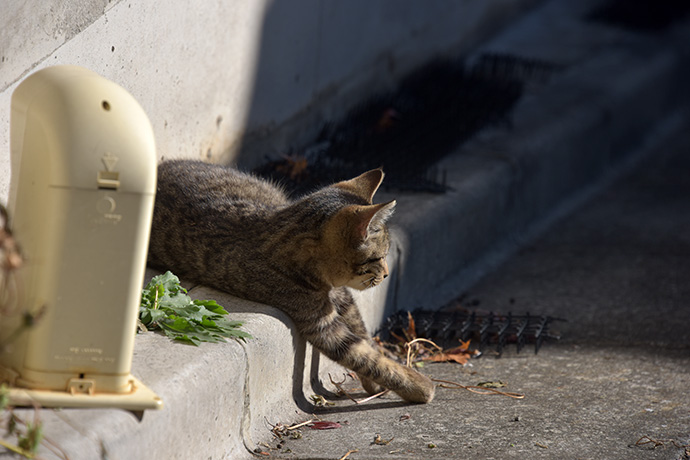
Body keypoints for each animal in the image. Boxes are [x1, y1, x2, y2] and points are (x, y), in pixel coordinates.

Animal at [148, 161, 432, 402]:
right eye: (380, 257)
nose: (386, 273)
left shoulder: (342, 297)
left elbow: (362, 333)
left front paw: (375, 383)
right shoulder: (323, 325)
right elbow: (367, 357)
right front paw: (419, 386)